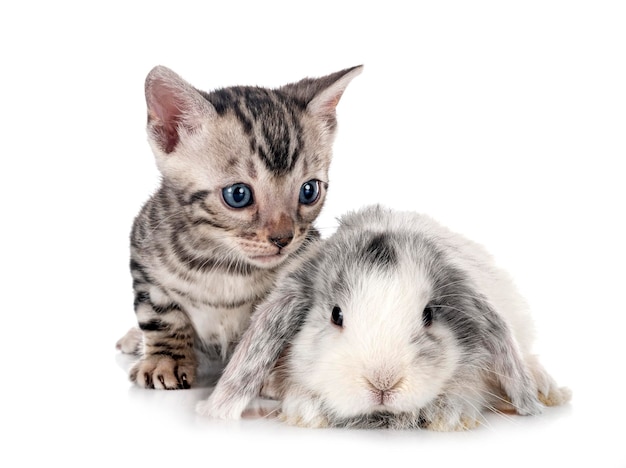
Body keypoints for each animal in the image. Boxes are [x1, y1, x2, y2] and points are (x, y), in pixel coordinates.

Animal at [196, 206, 572, 432]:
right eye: (336, 314)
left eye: (429, 314)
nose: (383, 383)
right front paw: (305, 411)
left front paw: (449, 416)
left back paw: (546, 388)